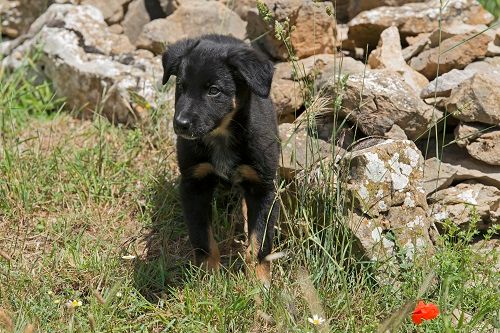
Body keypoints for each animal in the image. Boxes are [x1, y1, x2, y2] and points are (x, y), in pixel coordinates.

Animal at [163, 33, 282, 284]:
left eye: (214, 90)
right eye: (181, 87)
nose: (180, 124)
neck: (221, 137)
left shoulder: (264, 187)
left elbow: (260, 242)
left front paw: (259, 282)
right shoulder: (194, 183)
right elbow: (202, 237)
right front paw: (209, 277)